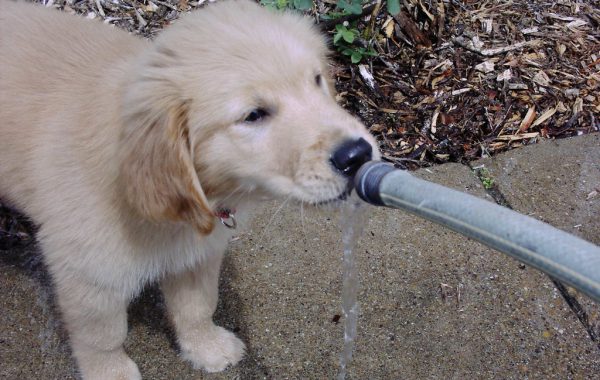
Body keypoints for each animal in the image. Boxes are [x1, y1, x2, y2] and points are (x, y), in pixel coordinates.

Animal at [0, 0, 378, 378]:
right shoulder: (89, 275)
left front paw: (206, 347)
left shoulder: (196, 254)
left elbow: (197, 306)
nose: (356, 155)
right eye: (254, 115)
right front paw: (111, 372)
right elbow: (102, 336)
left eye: (316, 80)